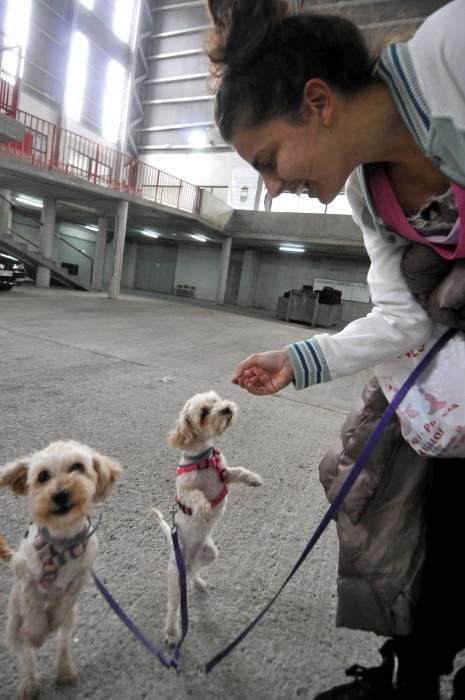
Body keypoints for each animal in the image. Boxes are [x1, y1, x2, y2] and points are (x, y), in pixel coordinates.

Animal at [0, 442, 121, 700]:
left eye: (78, 467)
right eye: (42, 476)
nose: (61, 493)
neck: (62, 544)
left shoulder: (81, 576)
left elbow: (66, 601)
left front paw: (52, 619)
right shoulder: (26, 575)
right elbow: (33, 606)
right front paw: (37, 630)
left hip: (70, 620)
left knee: (63, 640)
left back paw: (64, 668)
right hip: (13, 626)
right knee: (24, 654)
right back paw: (29, 683)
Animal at [151, 388, 260, 644]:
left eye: (216, 401)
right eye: (203, 413)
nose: (226, 409)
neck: (202, 459)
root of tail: (186, 559)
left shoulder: (225, 475)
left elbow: (237, 472)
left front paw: (252, 478)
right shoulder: (185, 491)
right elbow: (197, 495)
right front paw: (204, 509)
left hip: (209, 553)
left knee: (194, 571)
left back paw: (198, 582)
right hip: (175, 576)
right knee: (173, 607)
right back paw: (172, 632)